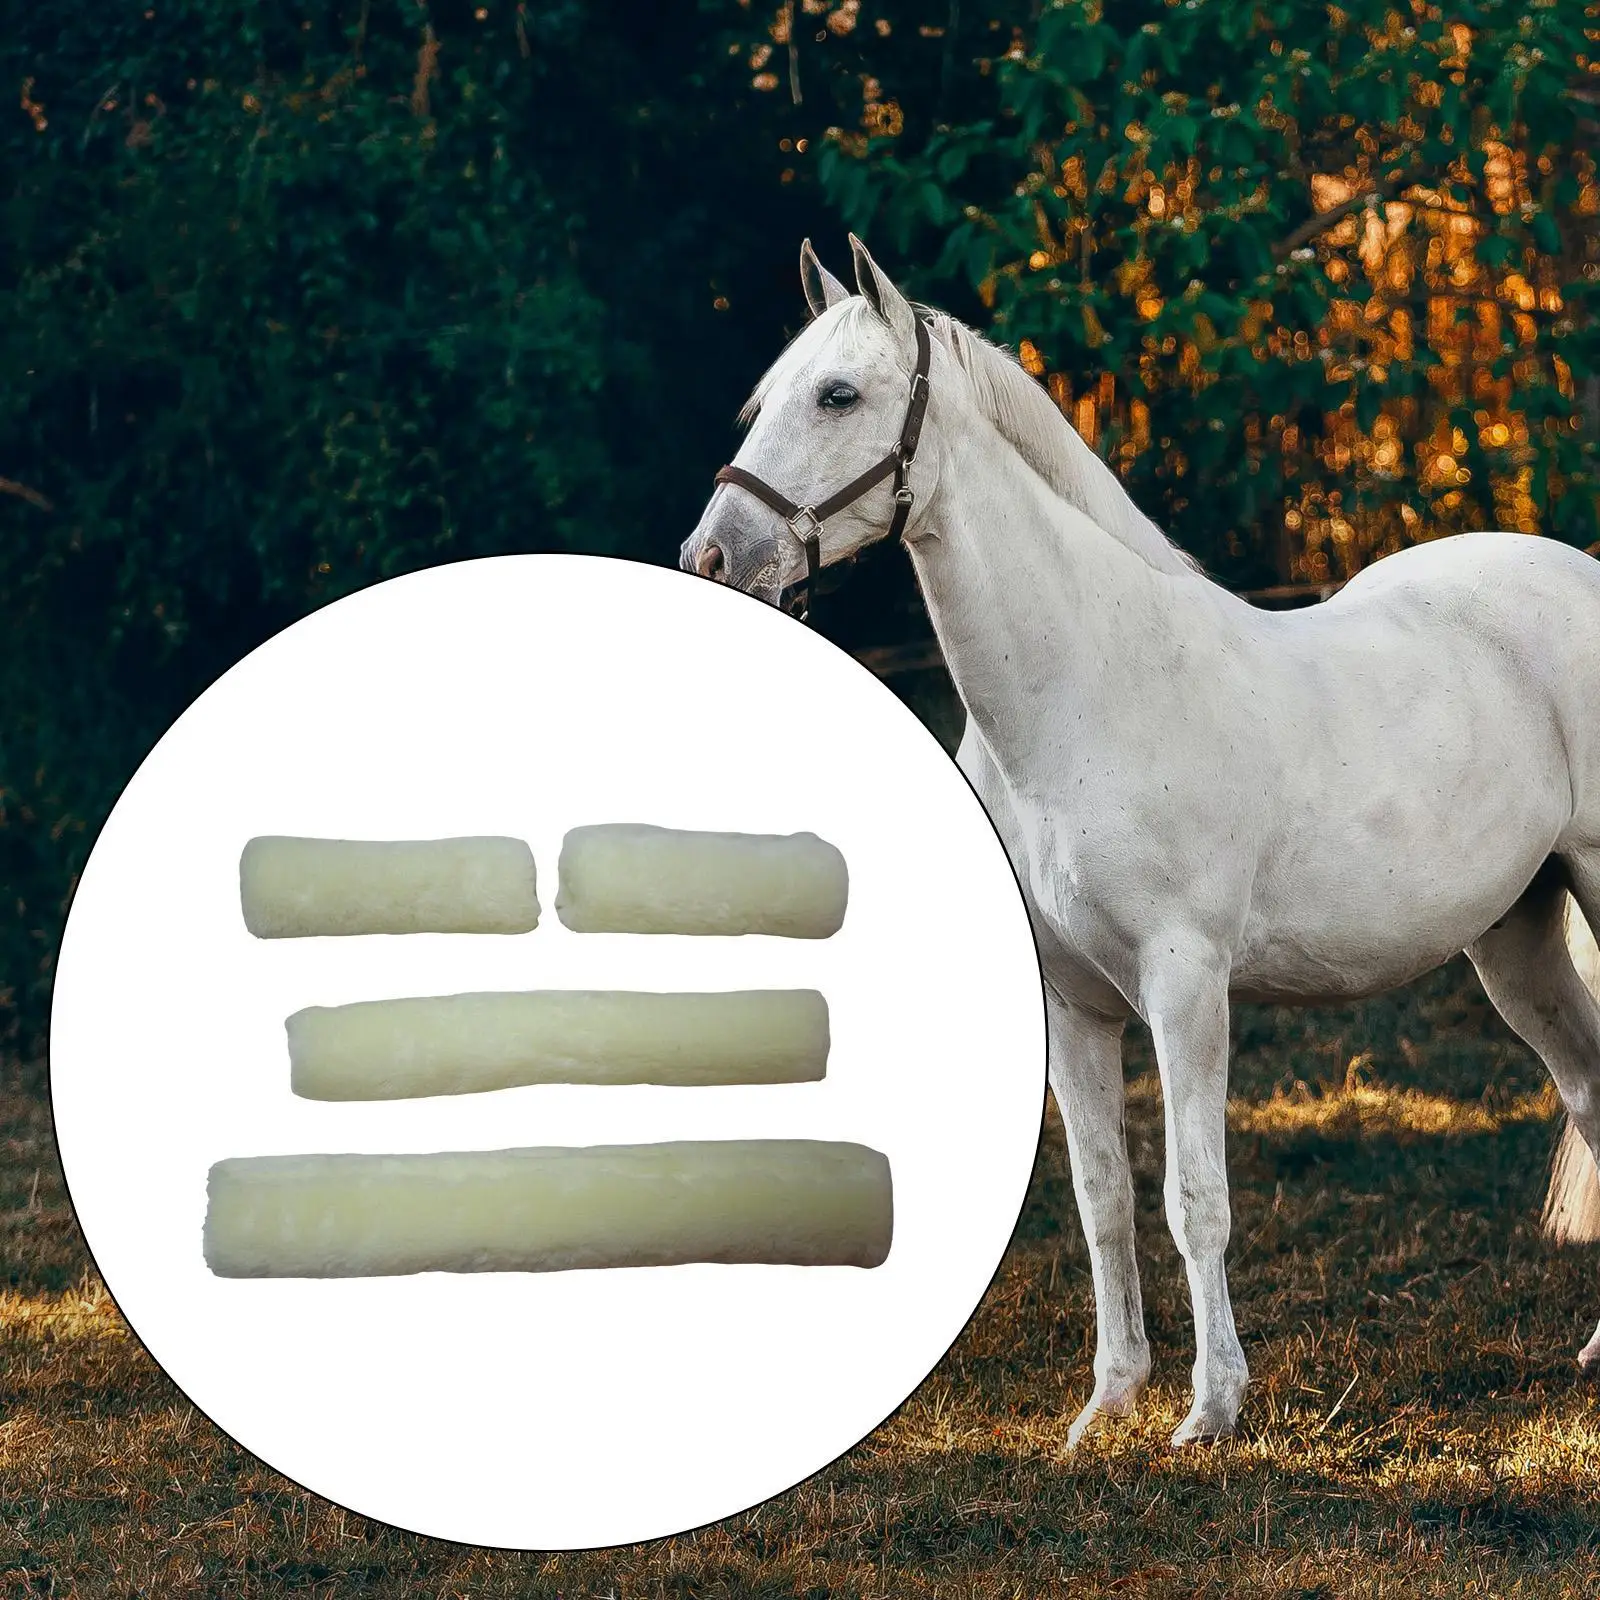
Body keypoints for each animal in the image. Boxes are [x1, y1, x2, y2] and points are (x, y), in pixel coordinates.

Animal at [680, 236, 1600, 1448]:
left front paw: (1210, 1409)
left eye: (838, 396)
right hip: (1513, 940)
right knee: (1587, 1090)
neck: (1089, 691)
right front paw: (1108, 1401)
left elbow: (1192, 1199)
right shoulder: (1073, 1003)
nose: (712, 555)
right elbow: (1102, 1197)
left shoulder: (1185, 985)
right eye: (762, 400)